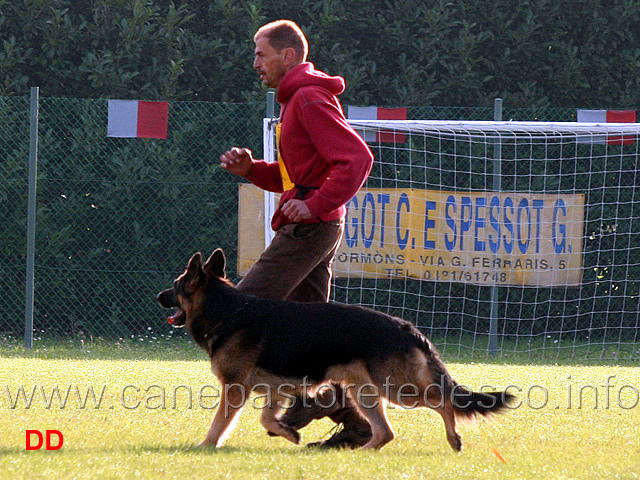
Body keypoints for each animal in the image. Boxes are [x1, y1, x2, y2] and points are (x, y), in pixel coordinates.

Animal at [159, 249, 516, 452]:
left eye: (175, 286)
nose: (158, 296)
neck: (226, 310)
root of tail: (405, 327)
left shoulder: (235, 389)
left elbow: (219, 422)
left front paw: (205, 446)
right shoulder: (276, 390)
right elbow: (266, 418)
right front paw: (289, 433)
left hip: (398, 389)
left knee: (443, 402)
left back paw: (453, 439)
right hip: (365, 393)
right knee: (386, 432)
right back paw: (361, 453)